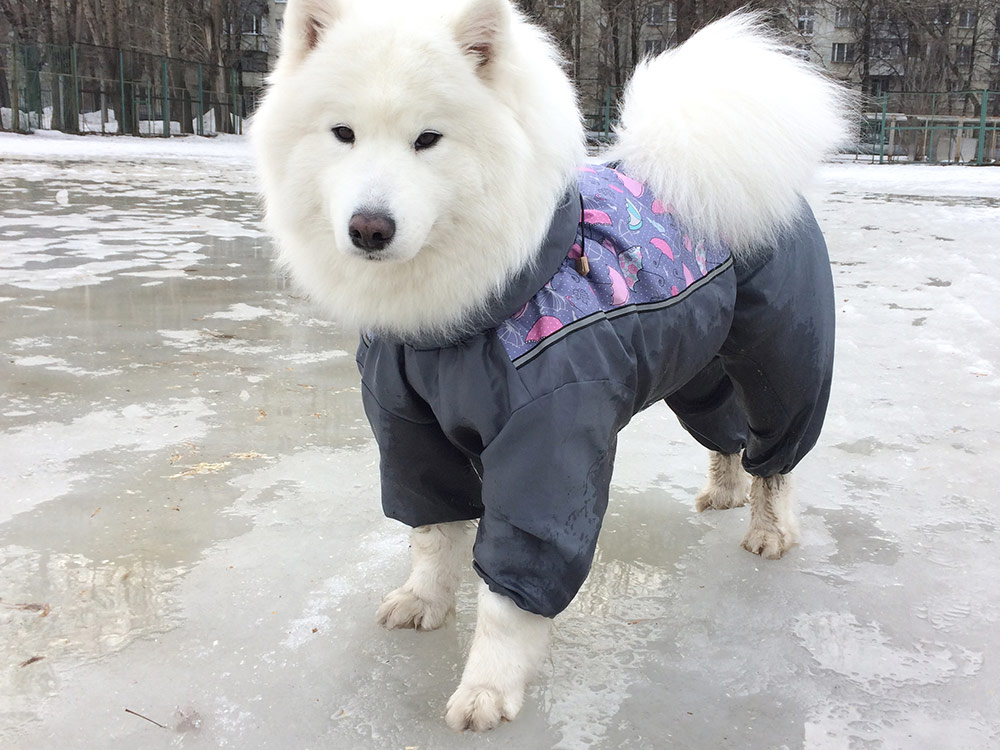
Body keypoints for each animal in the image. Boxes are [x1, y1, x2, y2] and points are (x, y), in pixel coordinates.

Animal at [252, 0, 852, 732]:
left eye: (428, 140)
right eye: (343, 134)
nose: (369, 228)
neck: (453, 327)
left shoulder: (549, 440)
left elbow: (514, 584)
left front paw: (488, 687)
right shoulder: (406, 429)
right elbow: (432, 531)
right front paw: (425, 601)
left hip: (783, 359)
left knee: (778, 451)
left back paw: (768, 527)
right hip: (697, 366)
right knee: (727, 432)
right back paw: (727, 490)